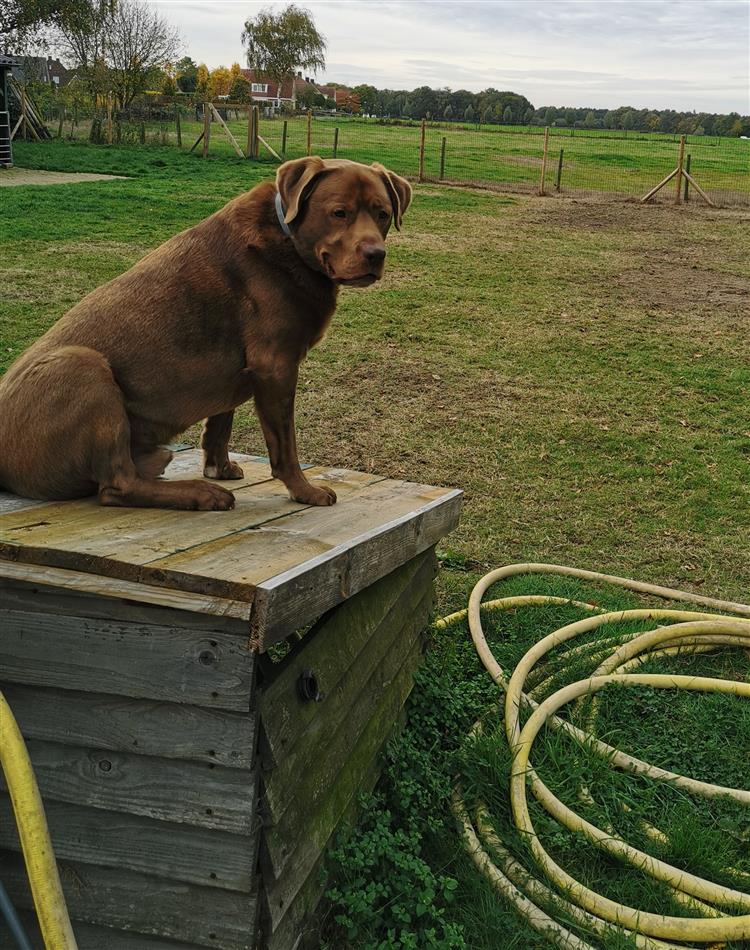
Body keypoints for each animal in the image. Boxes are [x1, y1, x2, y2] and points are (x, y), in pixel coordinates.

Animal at [0, 158, 412, 512]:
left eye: (382, 214)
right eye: (339, 212)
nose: (376, 255)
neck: (288, 241)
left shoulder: (237, 367)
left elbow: (220, 421)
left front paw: (220, 467)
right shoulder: (275, 365)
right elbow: (285, 446)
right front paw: (304, 491)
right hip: (82, 365)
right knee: (116, 486)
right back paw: (200, 494)